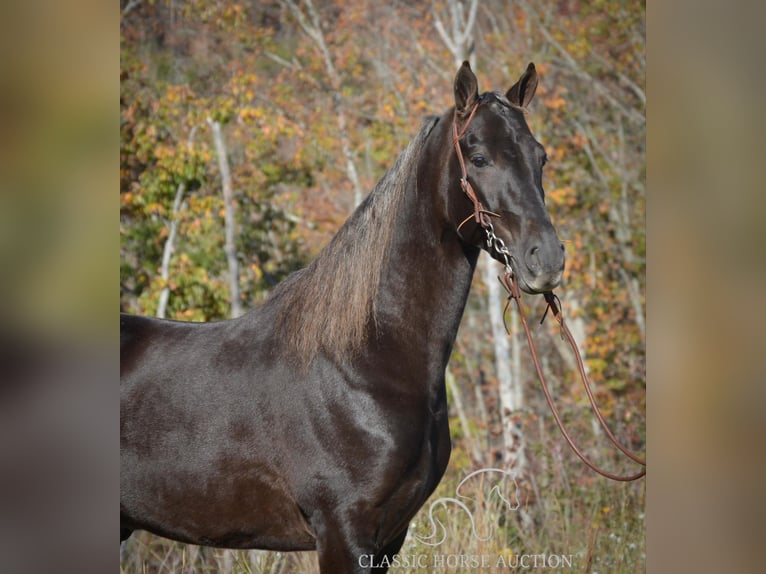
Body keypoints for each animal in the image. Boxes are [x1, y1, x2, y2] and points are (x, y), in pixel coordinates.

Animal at [120, 60, 564, 572]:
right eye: (478, 157)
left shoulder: (389, 538)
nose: (548, 258)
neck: (364, 362)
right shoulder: (342, 531)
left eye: (540, 157)